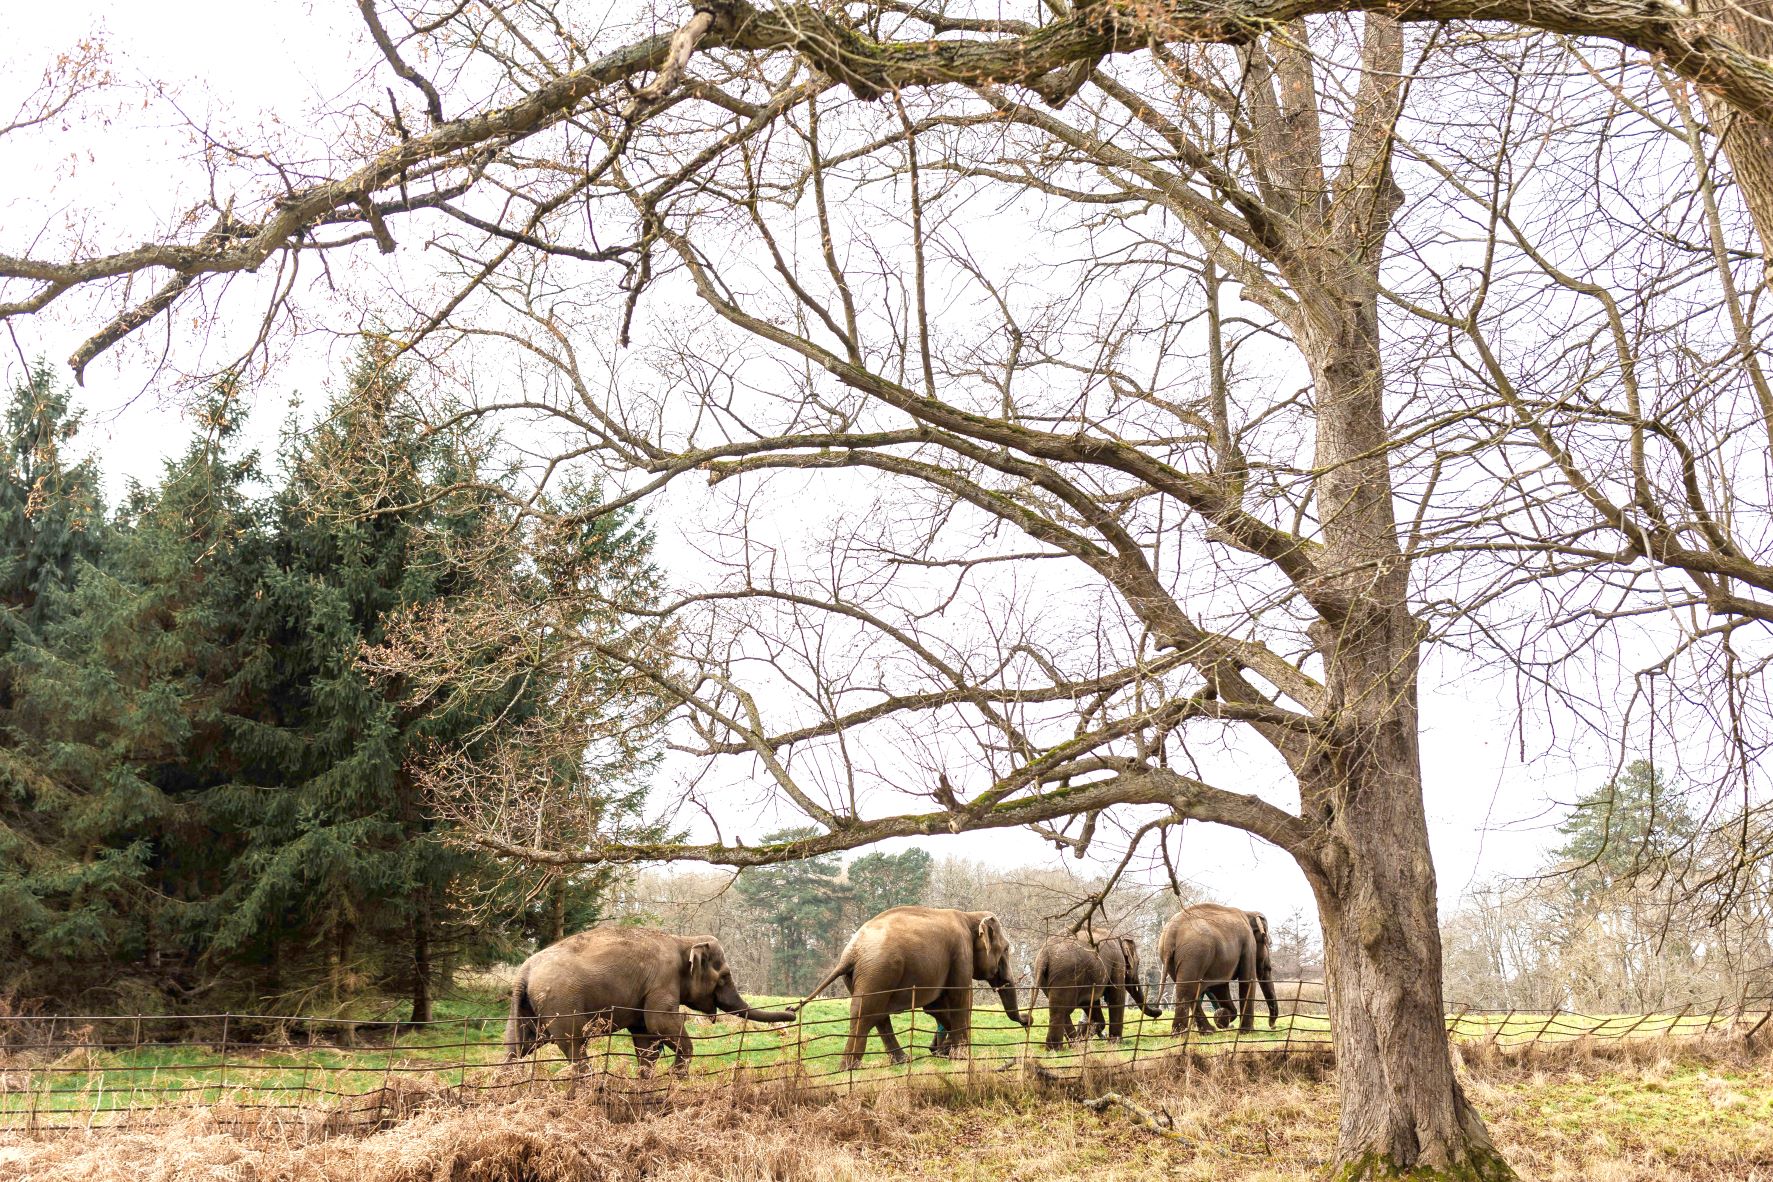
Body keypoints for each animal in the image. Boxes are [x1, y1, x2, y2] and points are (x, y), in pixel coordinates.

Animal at [510, 928, 794, 1077]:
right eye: (724, 976)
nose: (792, 1010)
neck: (683, 940)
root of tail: (524, 972)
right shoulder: (663, 980)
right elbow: (660, 1023)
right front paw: (677, 1078)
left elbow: (645, 1036)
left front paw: (647, 1081)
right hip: (562, 1003)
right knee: (574, 1044)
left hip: (526, 1008)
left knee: (520, 1045)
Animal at [797, 907, 1035, 1070]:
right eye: (1006, 949)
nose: (1028, 1021)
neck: (969, 915)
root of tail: (850, 953)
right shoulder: (961, 953)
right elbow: (960, 997)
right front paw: (960, 1057)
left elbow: (935, 1006)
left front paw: (943, 1050)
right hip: (878, 973)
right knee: (865, 1014)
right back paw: (849, 1068)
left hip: (863, 976)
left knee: (878, 1016)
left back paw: (900, 1061)